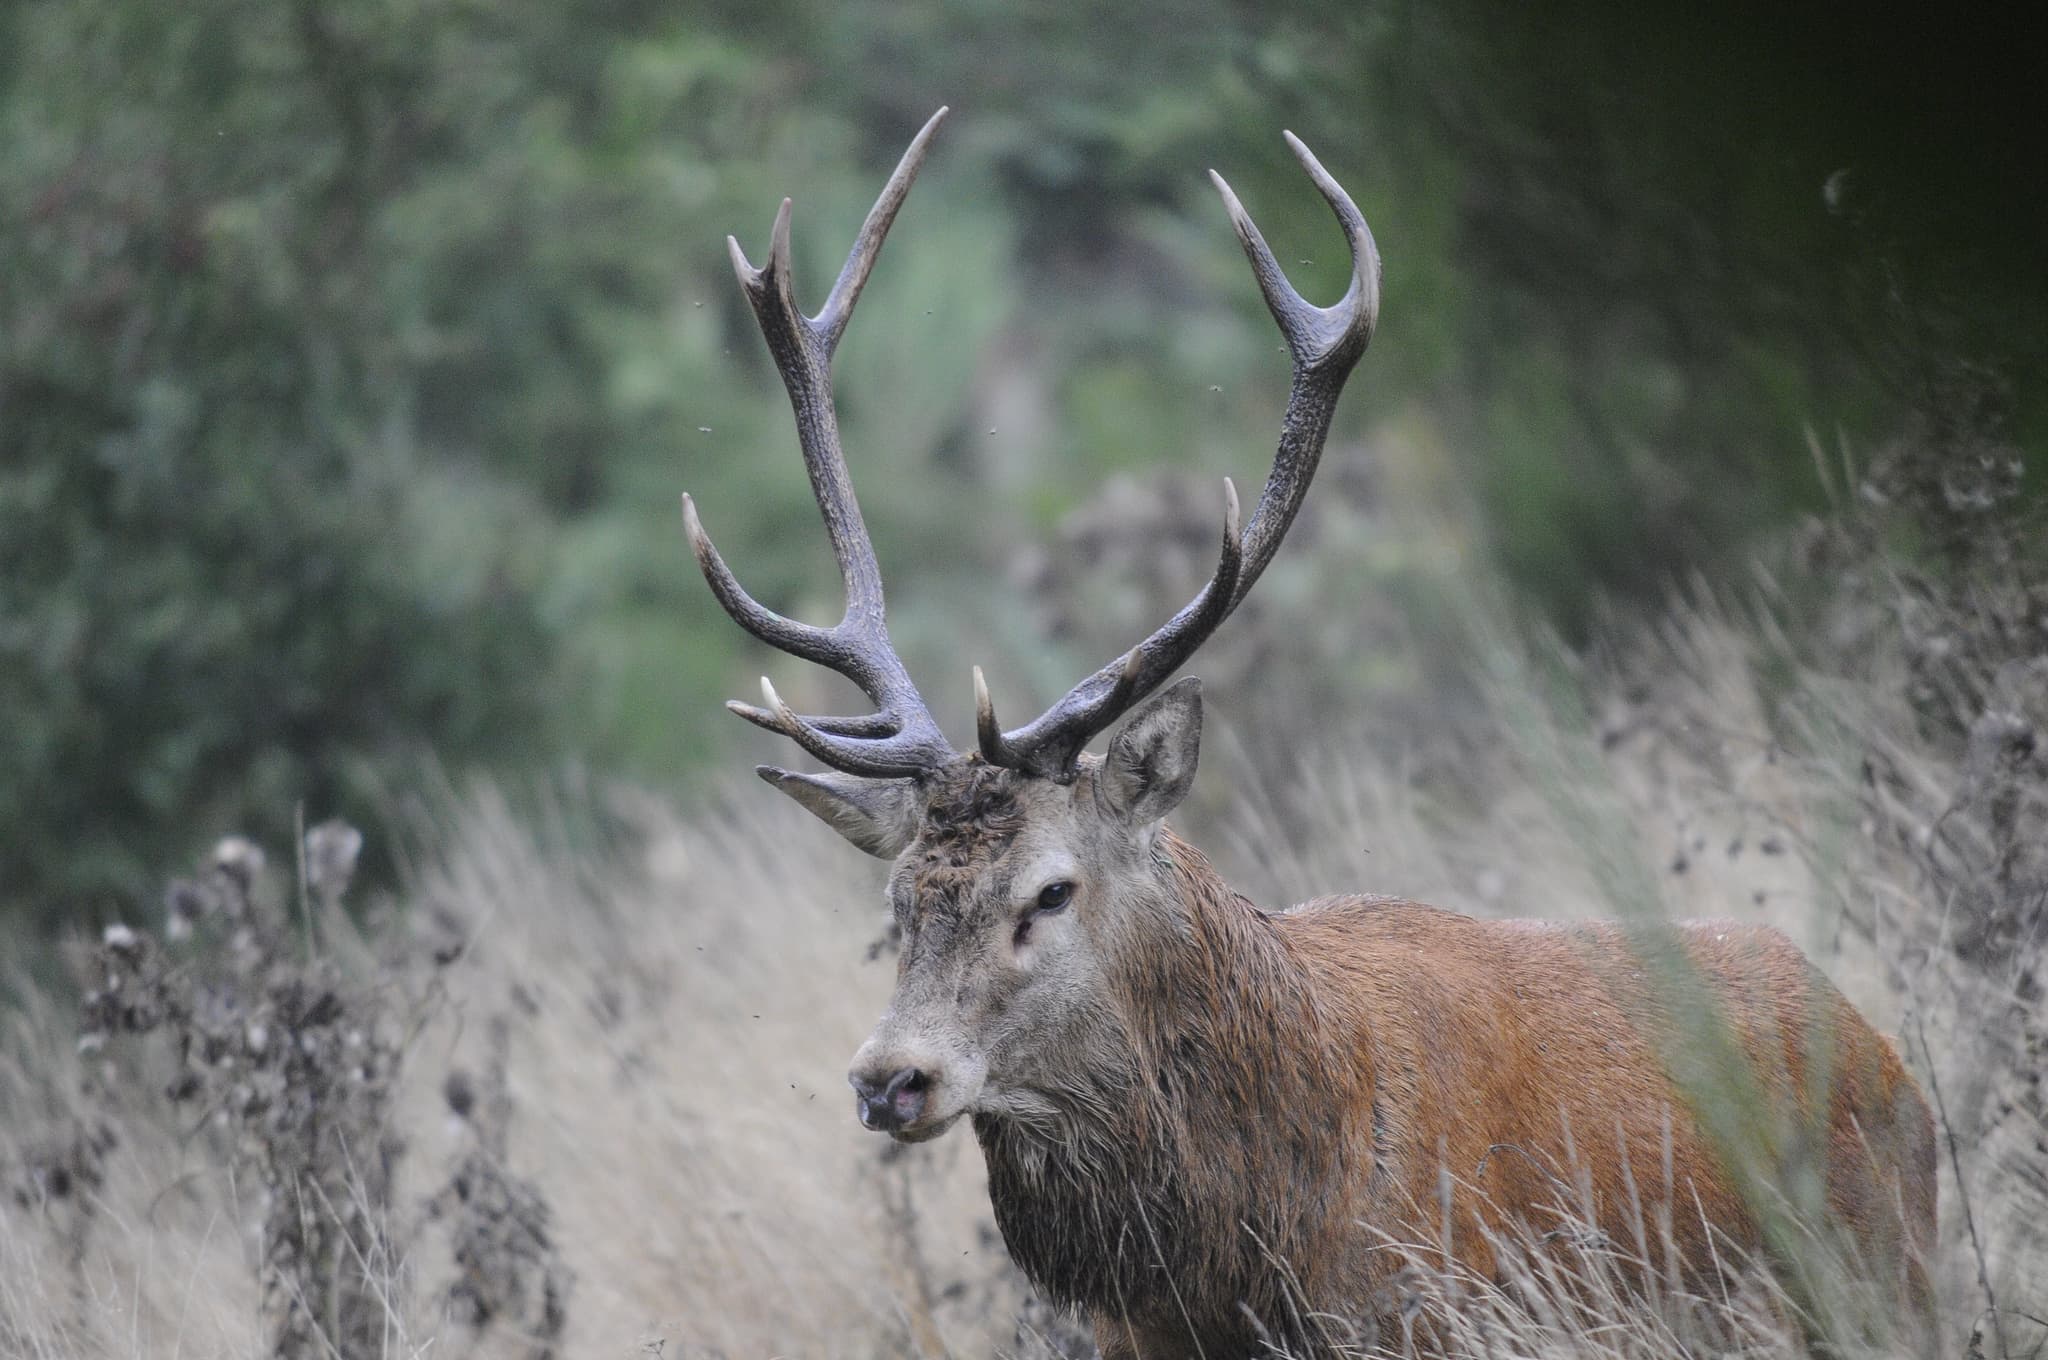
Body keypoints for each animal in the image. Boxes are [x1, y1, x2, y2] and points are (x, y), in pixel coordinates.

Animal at [680, 108, 1937, 1358]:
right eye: (897, 900)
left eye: (1050, 889)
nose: (888, 1079)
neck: (1257, 1252)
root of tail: (1882, 1056)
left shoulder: (1465, 1319)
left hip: (1888, 1283)